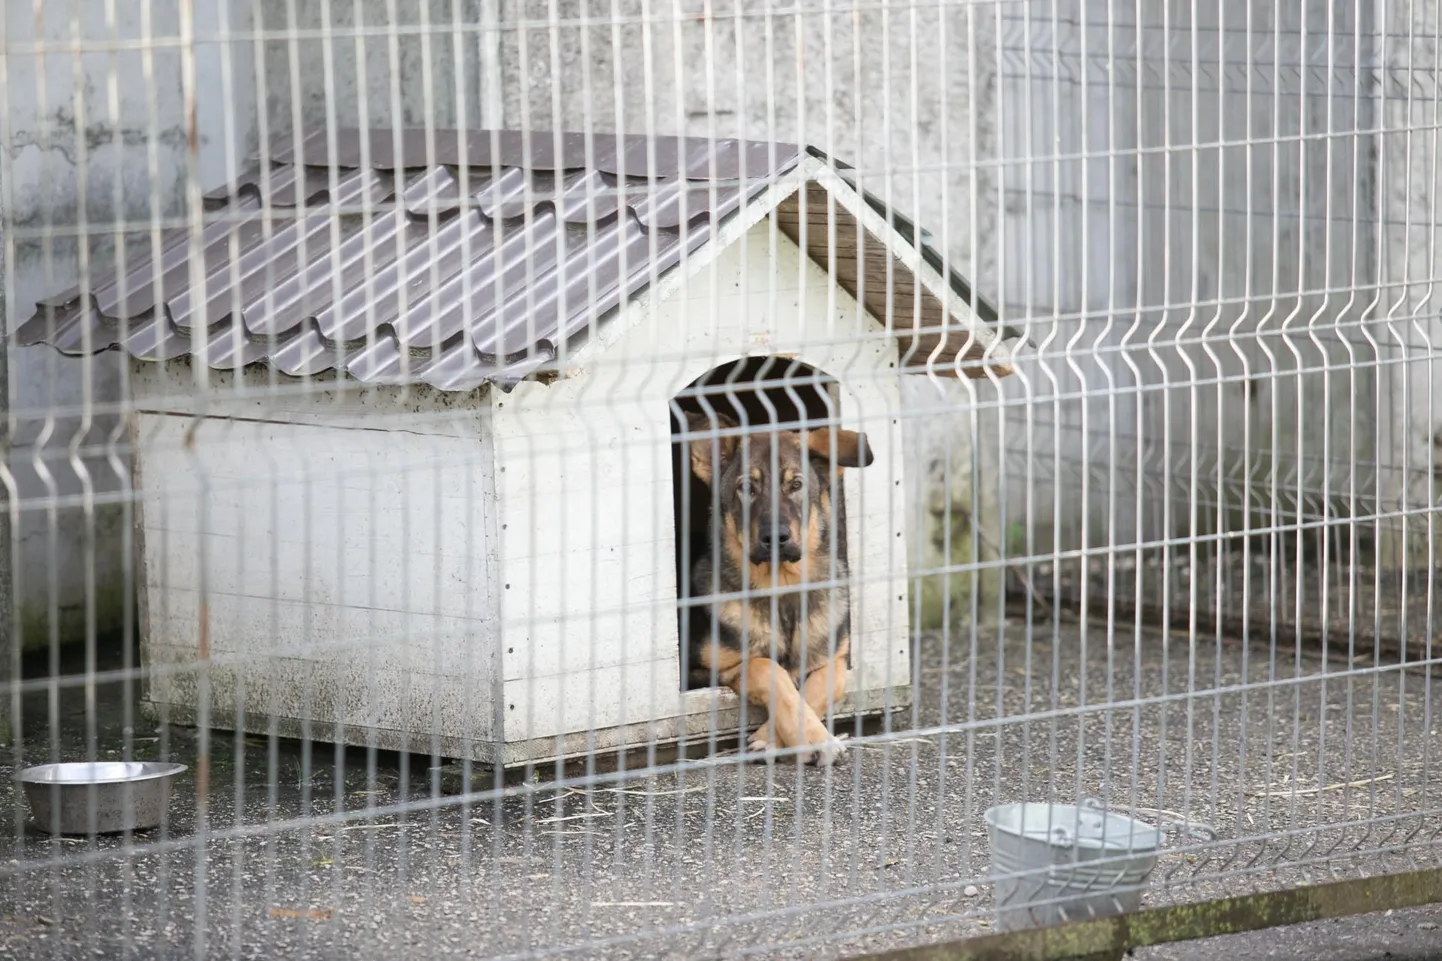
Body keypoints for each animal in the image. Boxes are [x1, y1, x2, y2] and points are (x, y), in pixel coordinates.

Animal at [680, 406, 870, 767]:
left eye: (796, 484)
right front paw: (810, 739)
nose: (775, 538)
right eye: (746, 488)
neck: (782, 588)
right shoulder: (699, 672)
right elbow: (767, 669)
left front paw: (778, 738)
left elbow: (823, 682)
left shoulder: (836, 659)